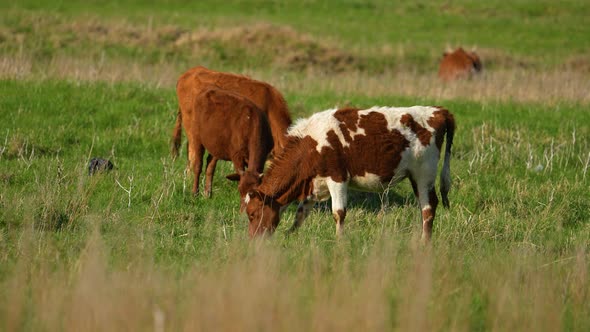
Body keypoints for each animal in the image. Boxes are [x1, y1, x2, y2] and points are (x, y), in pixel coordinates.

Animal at [243, 106, 456, 241]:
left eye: (252, 214)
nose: (253, 241)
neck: (310, 144)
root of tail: (439, 111)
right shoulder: (314, 184)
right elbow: (301, 213)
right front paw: (289, 236)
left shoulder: (337, 177)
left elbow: (338, 213)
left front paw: (339, 242)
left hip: (424, 174)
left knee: (428, 208)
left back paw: (424, 243)